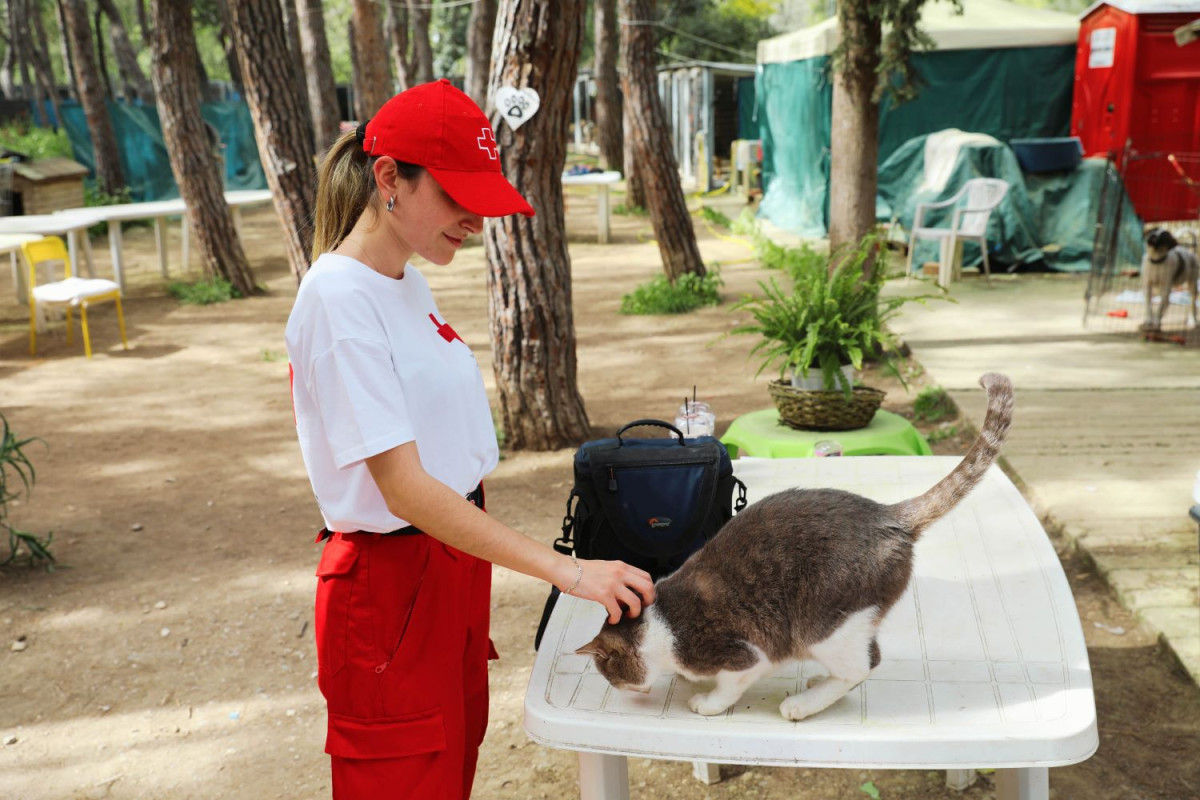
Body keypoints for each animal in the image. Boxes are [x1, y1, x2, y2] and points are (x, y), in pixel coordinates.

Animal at [571, 371, 1012, 724]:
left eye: (610, 674)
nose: (623, 691)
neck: (658, 624)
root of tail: (888, 514)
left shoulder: (744, 654)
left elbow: (729, 686)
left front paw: (706, 701)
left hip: (822, 624)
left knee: (864, 665)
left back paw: (802, 704)